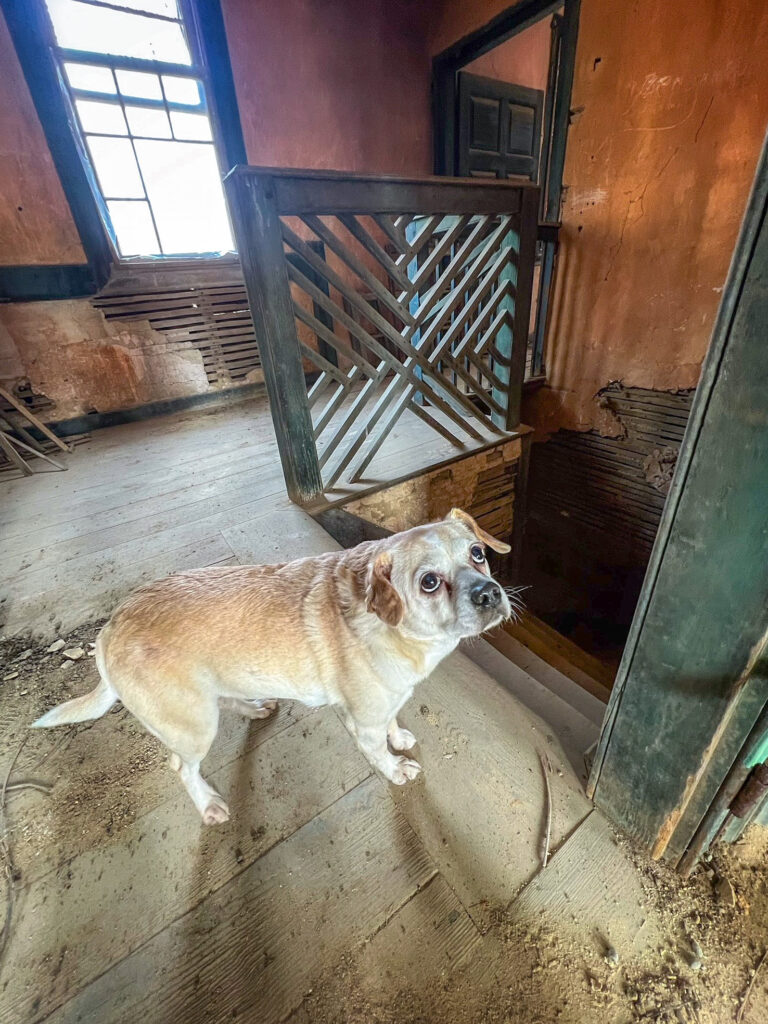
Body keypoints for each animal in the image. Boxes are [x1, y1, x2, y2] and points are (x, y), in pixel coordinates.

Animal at [34, 509, 518, 823]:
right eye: (429, 582)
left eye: (478, 553)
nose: (489, 593)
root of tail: (108, 630)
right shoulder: (362, 722)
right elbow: (378, 751)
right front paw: (396, 769)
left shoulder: (387, 699)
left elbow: (393, 722)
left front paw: (398, 737)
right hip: (193, 726)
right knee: (182, 768)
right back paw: (209, 805)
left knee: (229, 701)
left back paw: (255, 709)